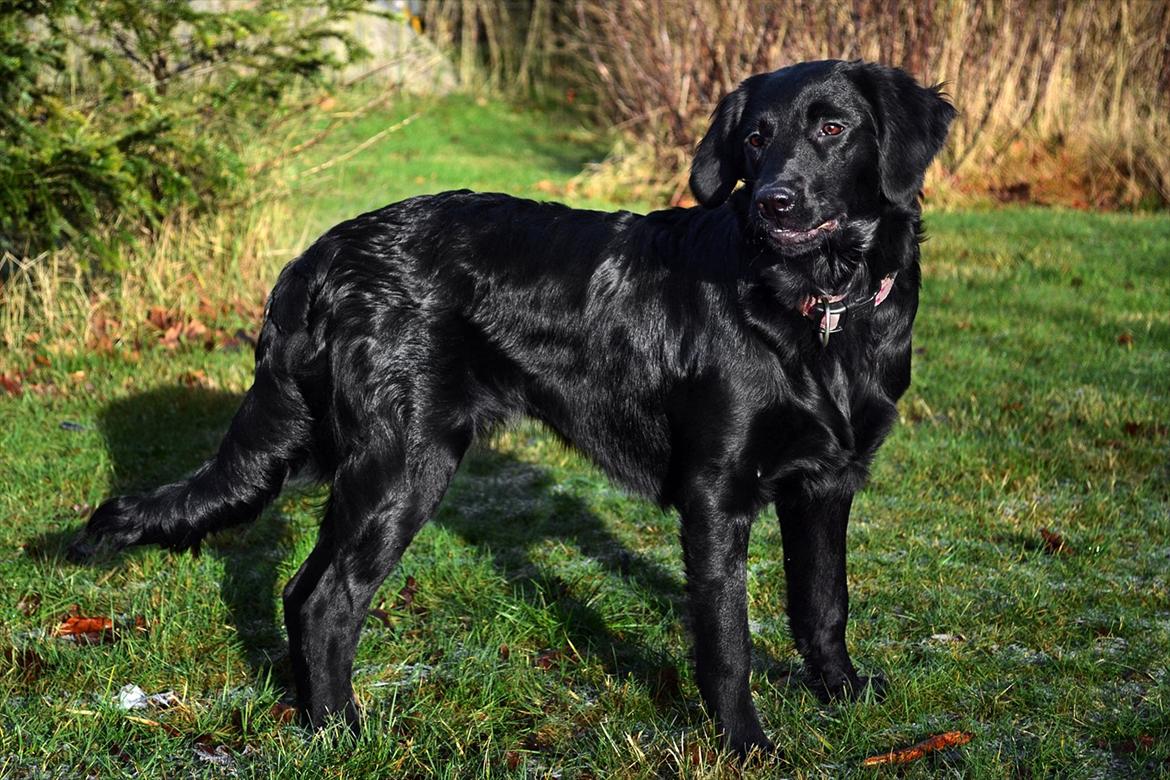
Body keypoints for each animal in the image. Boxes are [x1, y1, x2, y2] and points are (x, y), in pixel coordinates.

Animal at [68, 61, 954, 757]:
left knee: (301, 592)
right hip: (405, 464)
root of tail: (319, 257)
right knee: (325, 600)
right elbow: (727, 641)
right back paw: (342, 736)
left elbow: (824, 602)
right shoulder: (715, 493)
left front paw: (841, 693)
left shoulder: (828, 481)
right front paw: (745, 745)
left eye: (833, 127)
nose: (774, 201)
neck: (817, 312)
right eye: (756, 139)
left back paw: (323, 722)